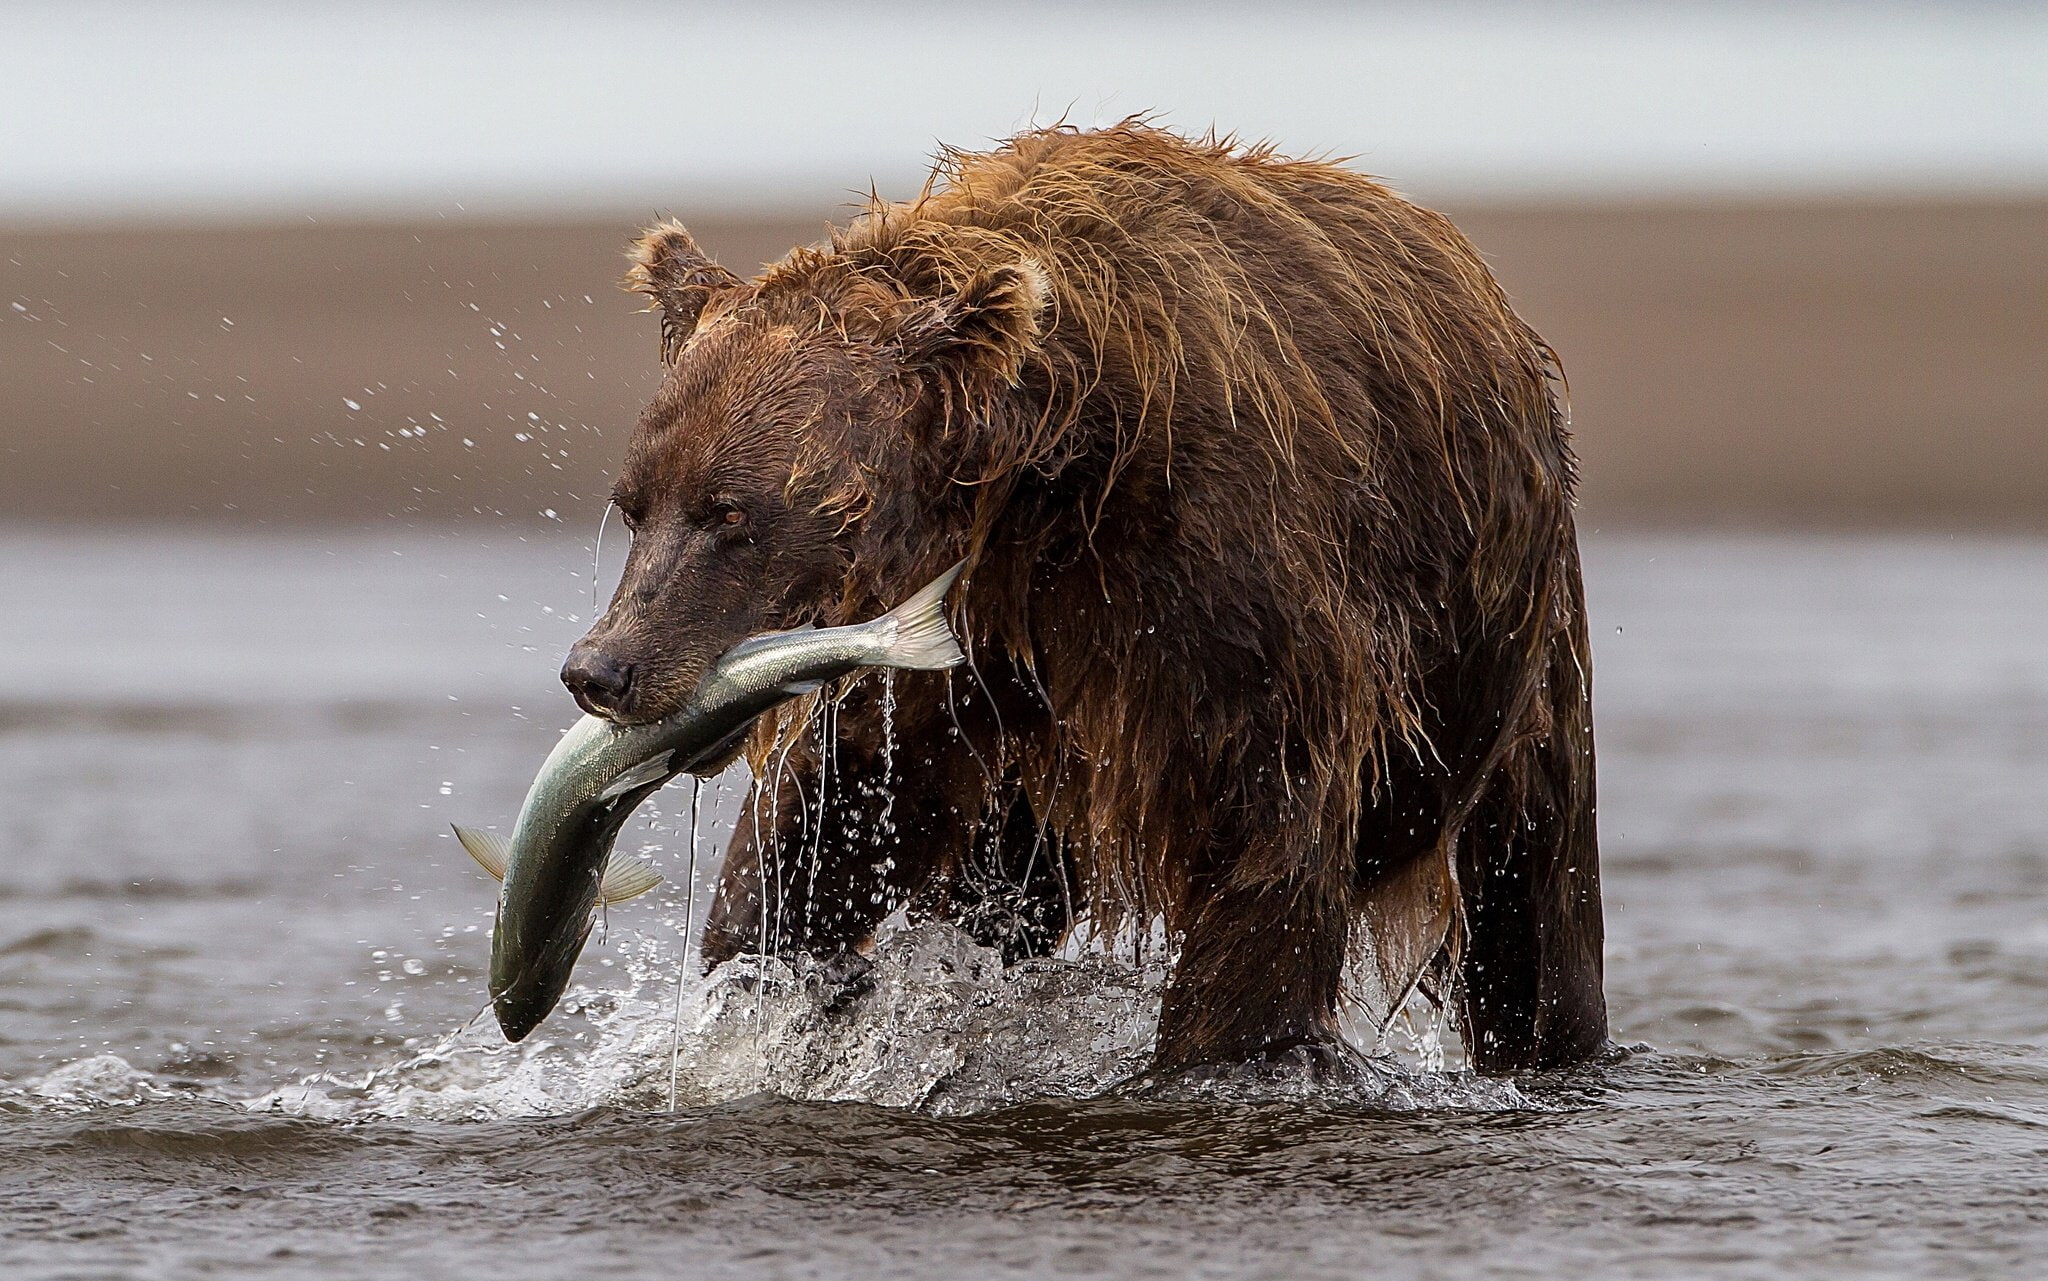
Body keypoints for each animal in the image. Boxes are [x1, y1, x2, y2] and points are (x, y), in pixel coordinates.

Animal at [561, 122, 1607, 1075]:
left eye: (731, 513)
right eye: (635, 503)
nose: (602, 667)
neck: (1045, 477)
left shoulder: (1220, 584)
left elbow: (1266, 837)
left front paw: (1222, 1050)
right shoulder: (952, 641)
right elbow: (830, 815)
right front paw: (773, 979)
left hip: (1512, 652)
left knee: (1533, 901)